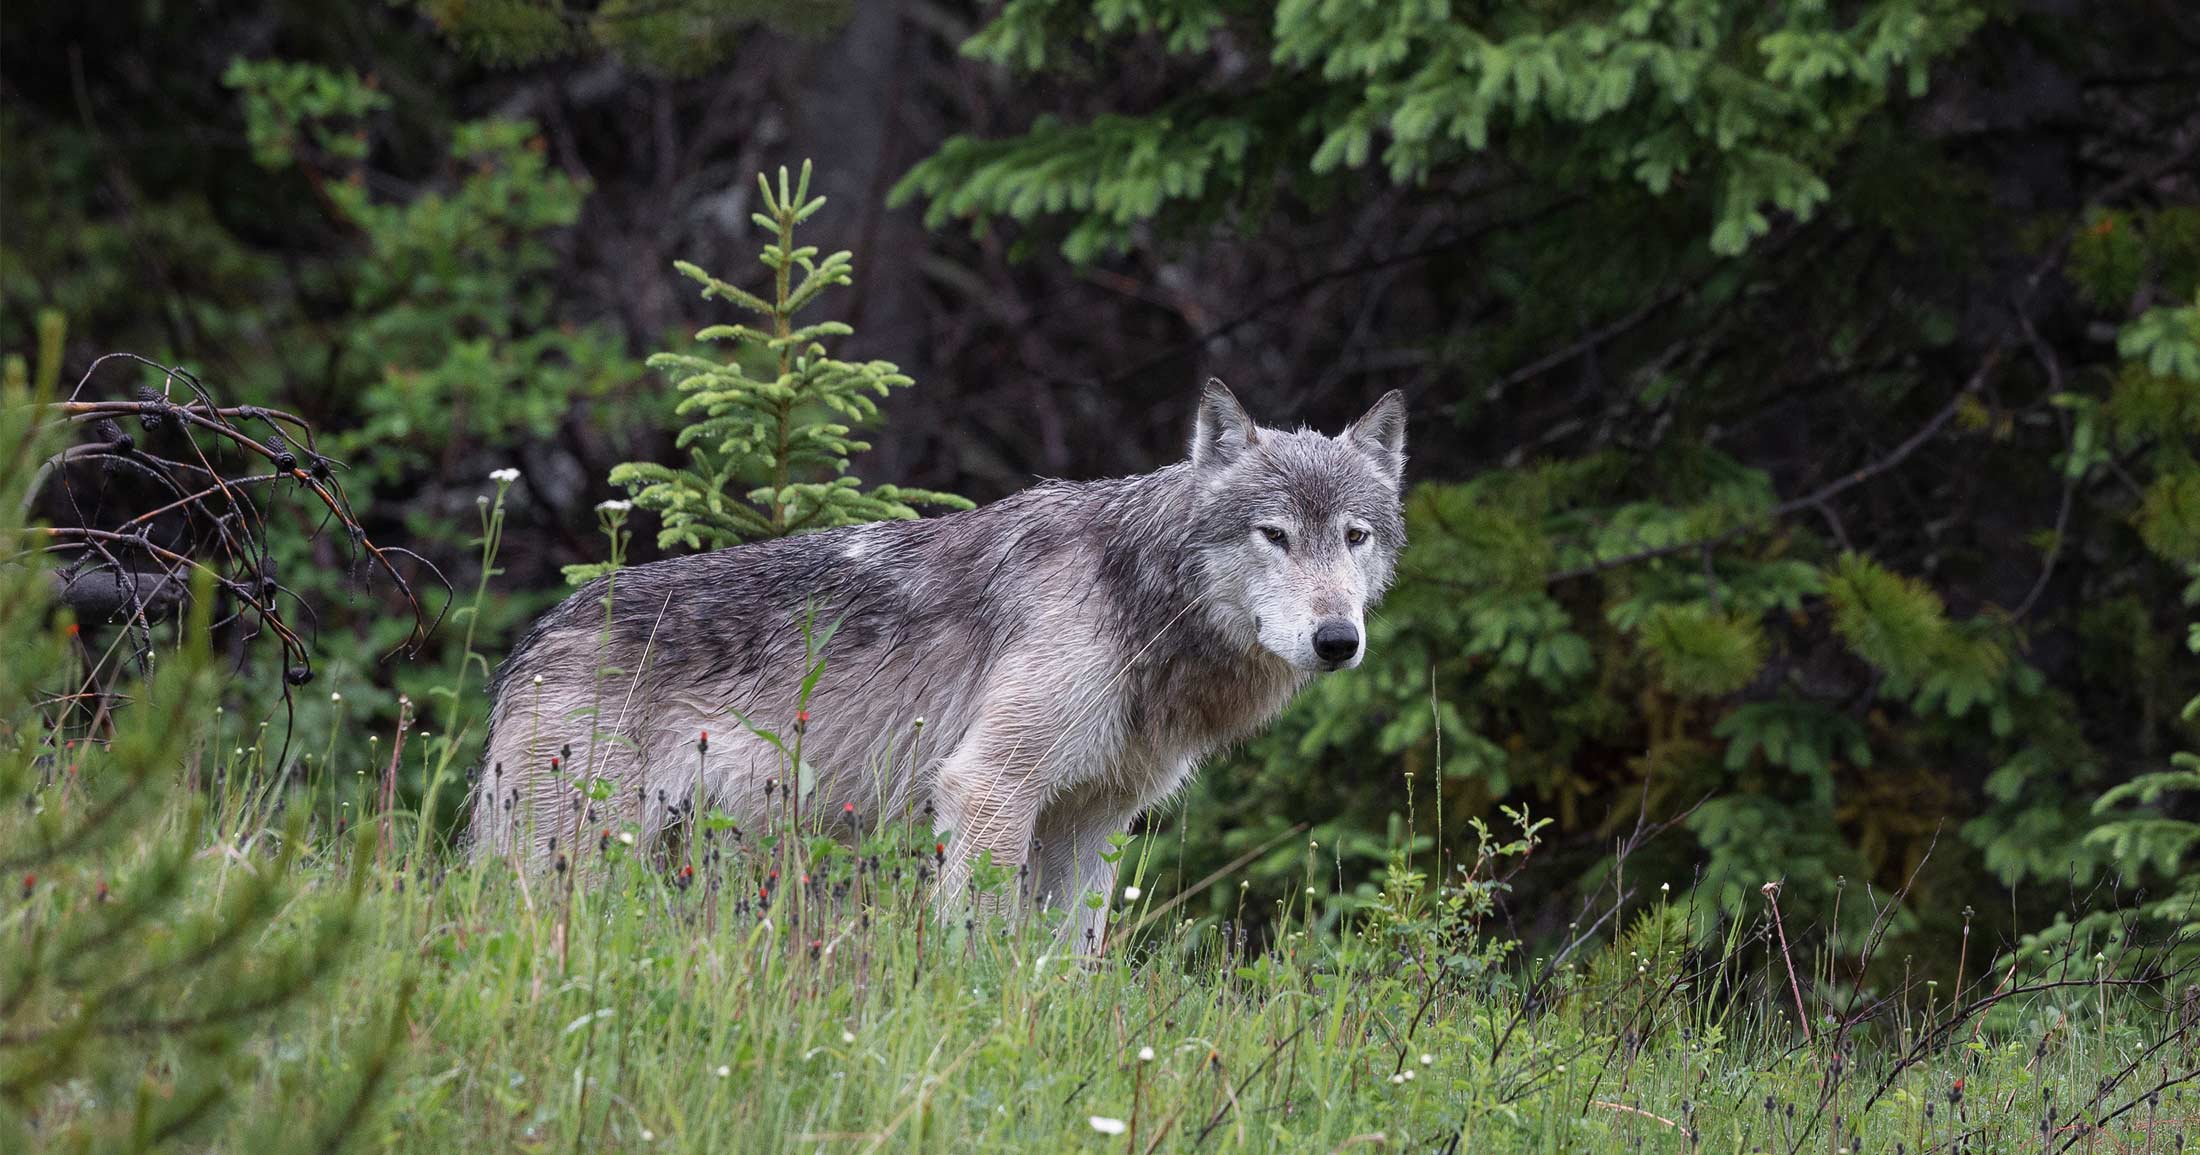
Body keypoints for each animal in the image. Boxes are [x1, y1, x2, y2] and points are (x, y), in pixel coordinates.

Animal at [470, 380, 1406, 946]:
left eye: (1354, 535)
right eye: (1274, 534)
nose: (1337, 639)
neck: (1137, 598)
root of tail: (533, 640)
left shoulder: (1092, 821)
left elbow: (1067, 965)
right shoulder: (989, 788)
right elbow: (982, 943)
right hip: (576, 859)